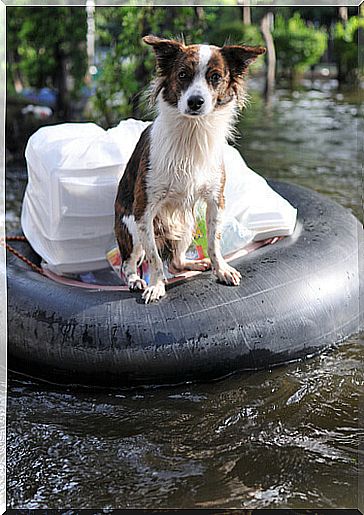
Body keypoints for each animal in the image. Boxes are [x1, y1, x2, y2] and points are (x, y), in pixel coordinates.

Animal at [115, 36, 266, 304]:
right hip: (132, 230)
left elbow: (214, 243)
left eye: (215, 77)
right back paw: (135, 280)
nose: (196, 101)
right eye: (183, 74)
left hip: (185, 224)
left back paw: (195, 264)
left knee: (175, 261)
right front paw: (156, 285)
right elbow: (155, 258)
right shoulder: (144, 210)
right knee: (129, 263)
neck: (192, 132)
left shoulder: (216, 200)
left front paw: (221, 270)